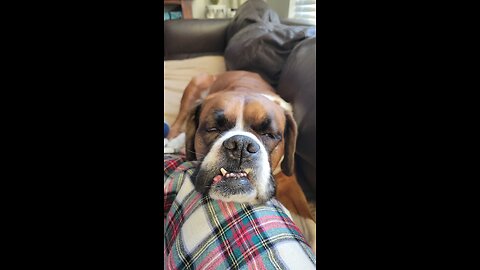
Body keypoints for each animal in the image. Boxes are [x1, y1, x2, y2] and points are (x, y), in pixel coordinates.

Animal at [168, 70, 316, 223]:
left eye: (269, 134)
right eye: (213, 129)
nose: (241, 145)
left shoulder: (290, 184)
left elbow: (309, 219)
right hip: (196, 84)